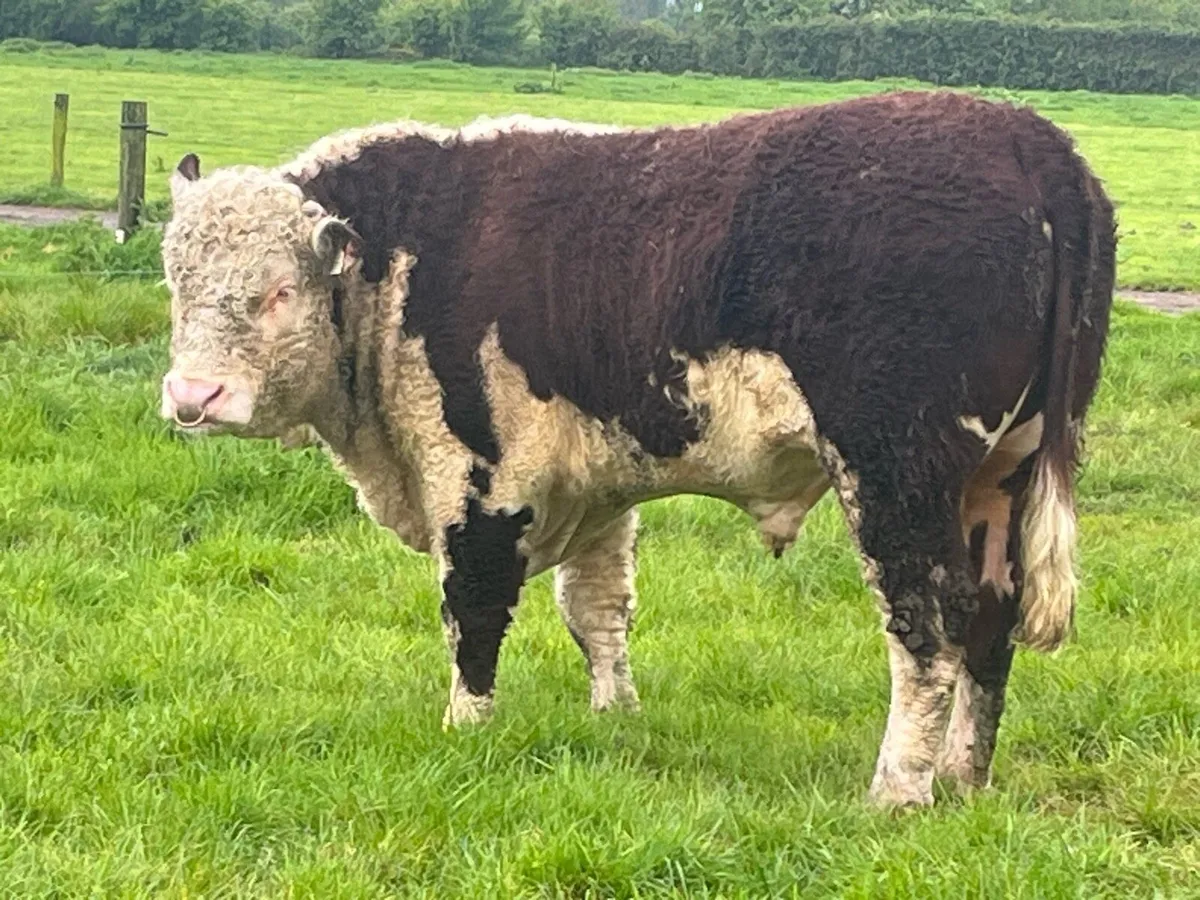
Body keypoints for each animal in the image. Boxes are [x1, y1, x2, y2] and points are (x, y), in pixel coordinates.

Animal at [159, 92, 1116, 807]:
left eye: (279, 292)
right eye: (175, 283)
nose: (192, 398)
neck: (414, 254)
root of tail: (1028, 138)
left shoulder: (480, 477)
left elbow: (473, 608)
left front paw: (465, 728)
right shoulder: (596, 486)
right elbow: (598, 610)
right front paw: (614, 717)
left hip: (896, 470)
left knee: (928, 625)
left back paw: (899, 789)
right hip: (1002, 472)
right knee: (992, 614)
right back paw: (963, 775)